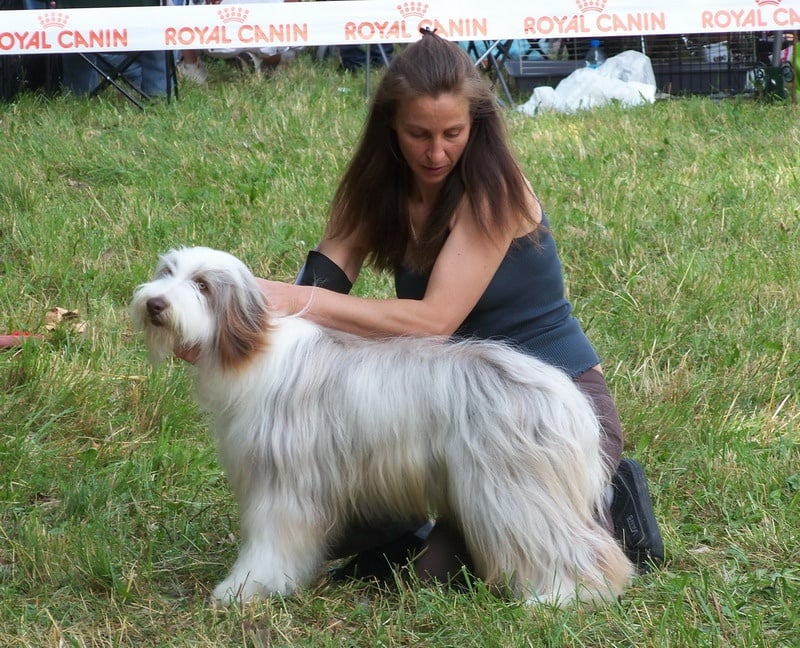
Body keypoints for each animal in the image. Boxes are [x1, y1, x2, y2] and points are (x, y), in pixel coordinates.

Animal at [131, 246, 633, 607]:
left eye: (201, 285)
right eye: (167, 271)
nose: (155, 303)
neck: (252, 350)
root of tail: (564, 396)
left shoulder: (283, 484)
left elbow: (270, 543)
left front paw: (245, 589)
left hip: (513, 493)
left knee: (572, 547)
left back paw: (562, 597)